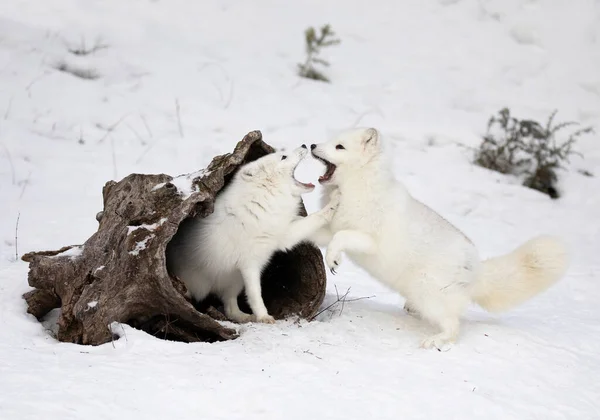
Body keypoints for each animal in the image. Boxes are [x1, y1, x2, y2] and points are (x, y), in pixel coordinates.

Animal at [166, 146, 340, 324]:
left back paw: (244, 317)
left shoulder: (283, 232)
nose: (304, 145)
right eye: (283, 157)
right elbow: (256, 295)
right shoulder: (251, 262)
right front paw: (264, 317)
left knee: (230, 308)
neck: (263, 199)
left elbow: (310, 222)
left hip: (234, 280)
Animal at [312, 128, 568, 352]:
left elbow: (342, 236)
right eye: (331, 140)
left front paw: (333, 258)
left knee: (454, 326)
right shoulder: (330, 227)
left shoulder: (368, 240)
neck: (358, 188)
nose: (313, 145)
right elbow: (322, 233)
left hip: (428, 293)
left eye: (339, 146)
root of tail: (477, 268)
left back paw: (437, 340)